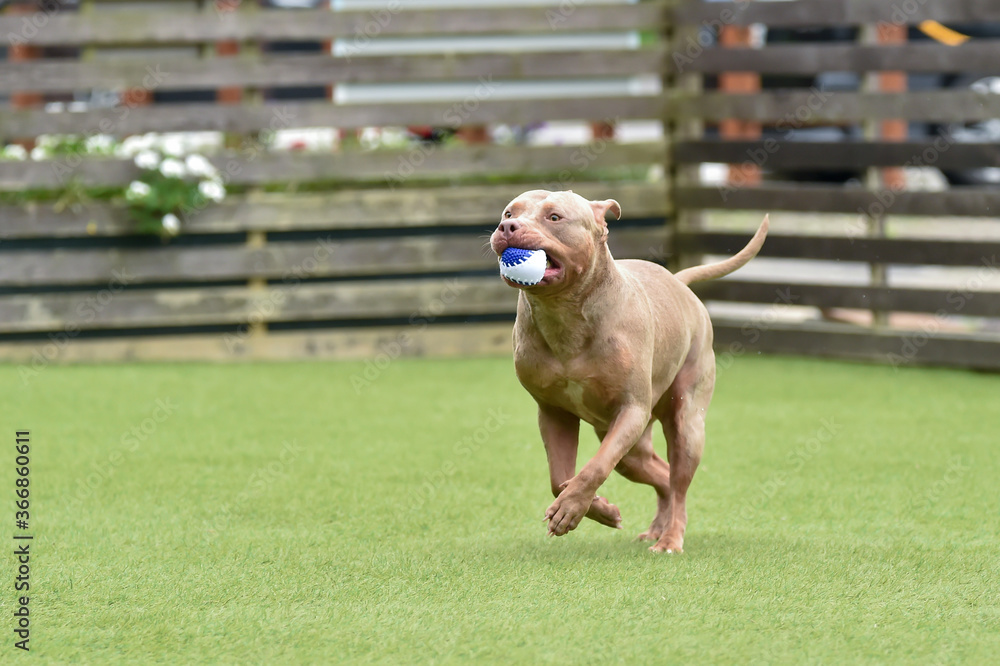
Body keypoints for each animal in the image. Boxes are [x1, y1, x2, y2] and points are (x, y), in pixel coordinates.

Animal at [490, 189, 764, 552]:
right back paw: (656, 528)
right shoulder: (553, 413)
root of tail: (678, 281)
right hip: (631, 449)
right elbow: (559, 478)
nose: (507, 227)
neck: (564, 316)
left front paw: (571, 508)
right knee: (662, 475)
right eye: (509, 212)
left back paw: (670, 539)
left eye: (554, 217)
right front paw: (597, 509)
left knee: (678, 481)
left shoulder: (631, 409)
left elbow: (593, 467)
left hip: (685, 423)